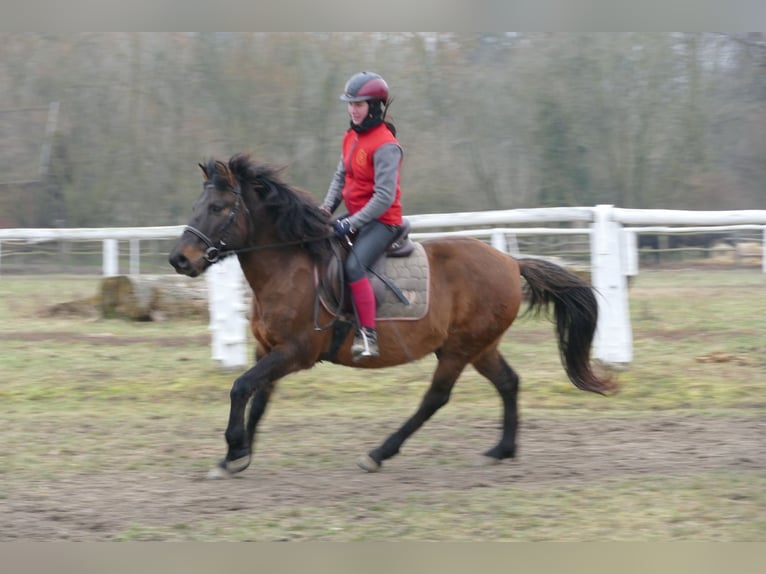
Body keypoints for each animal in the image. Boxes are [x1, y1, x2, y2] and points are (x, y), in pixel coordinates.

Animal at [170, 154, 616, 482]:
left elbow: (241, 387)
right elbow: (258, 398)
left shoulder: (295, 352)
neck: (289, 267)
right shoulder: (269, 350)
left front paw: (233, 448)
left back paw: (380, 452)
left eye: (218, 207)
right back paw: (502, 450)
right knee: (508, 382)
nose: (179, 260)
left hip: (458, 350)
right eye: (196, 206)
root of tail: (510, 261)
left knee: (436, 398)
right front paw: (238, 455)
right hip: (480, 347)